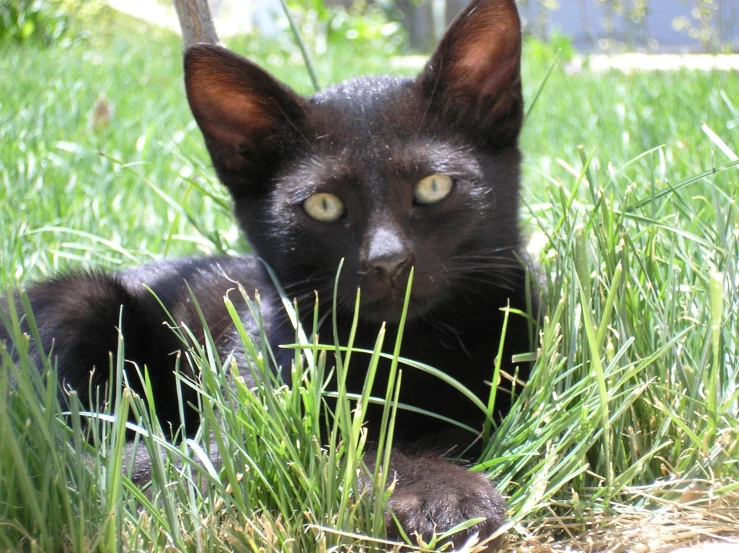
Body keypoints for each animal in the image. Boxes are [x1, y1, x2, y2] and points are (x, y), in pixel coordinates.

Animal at [2, 0, 540, 544]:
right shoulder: (250, 419)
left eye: (434, 186)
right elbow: (333, 449)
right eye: (324, 205)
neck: (403, 348)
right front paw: (447, 495)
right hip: (81, 302)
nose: (387, 259)